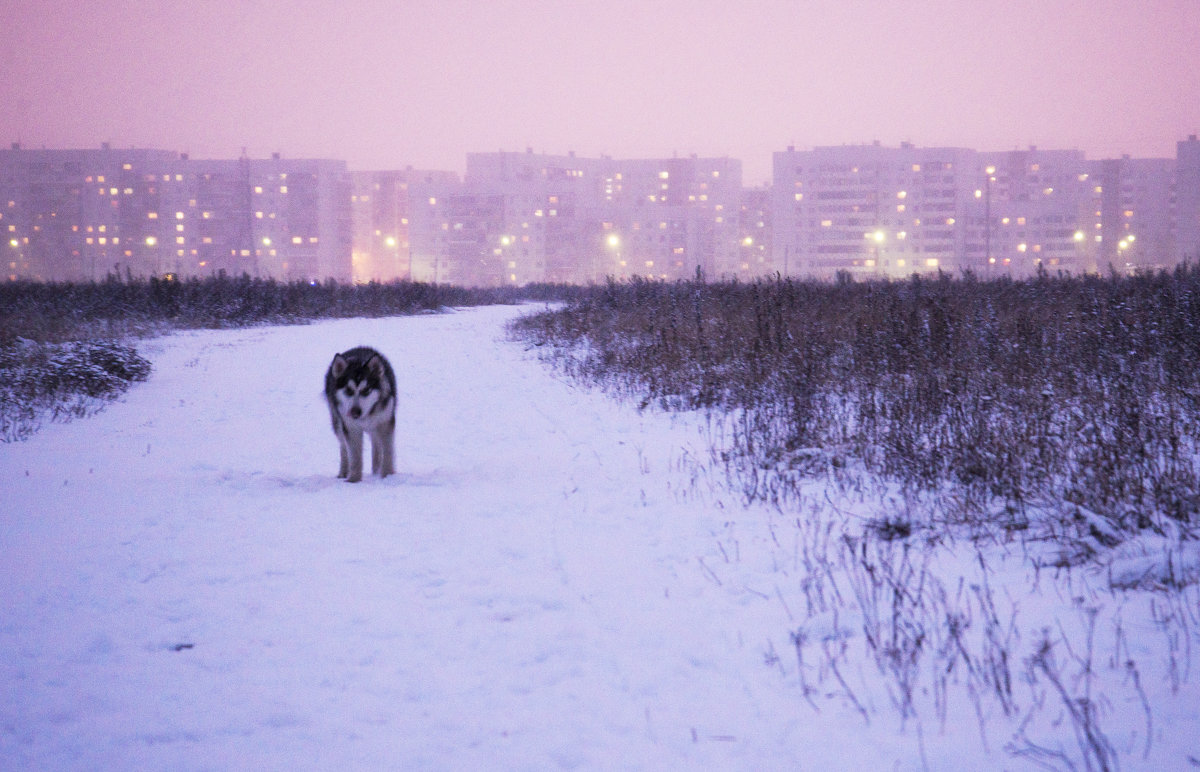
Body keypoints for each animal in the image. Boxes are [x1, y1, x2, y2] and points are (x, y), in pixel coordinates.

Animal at [324, 345, 398, 480]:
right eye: (348, 390)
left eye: (366, 390)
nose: (355, 412)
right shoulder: (350, 427)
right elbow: (354, 456)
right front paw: (354, 479)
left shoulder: (385, 423)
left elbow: (387, 451)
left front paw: (387, 475)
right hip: (337, 422)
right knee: (343, 448)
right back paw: (343, 472)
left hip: (375, 426)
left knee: (376, 445)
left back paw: (376, 471)